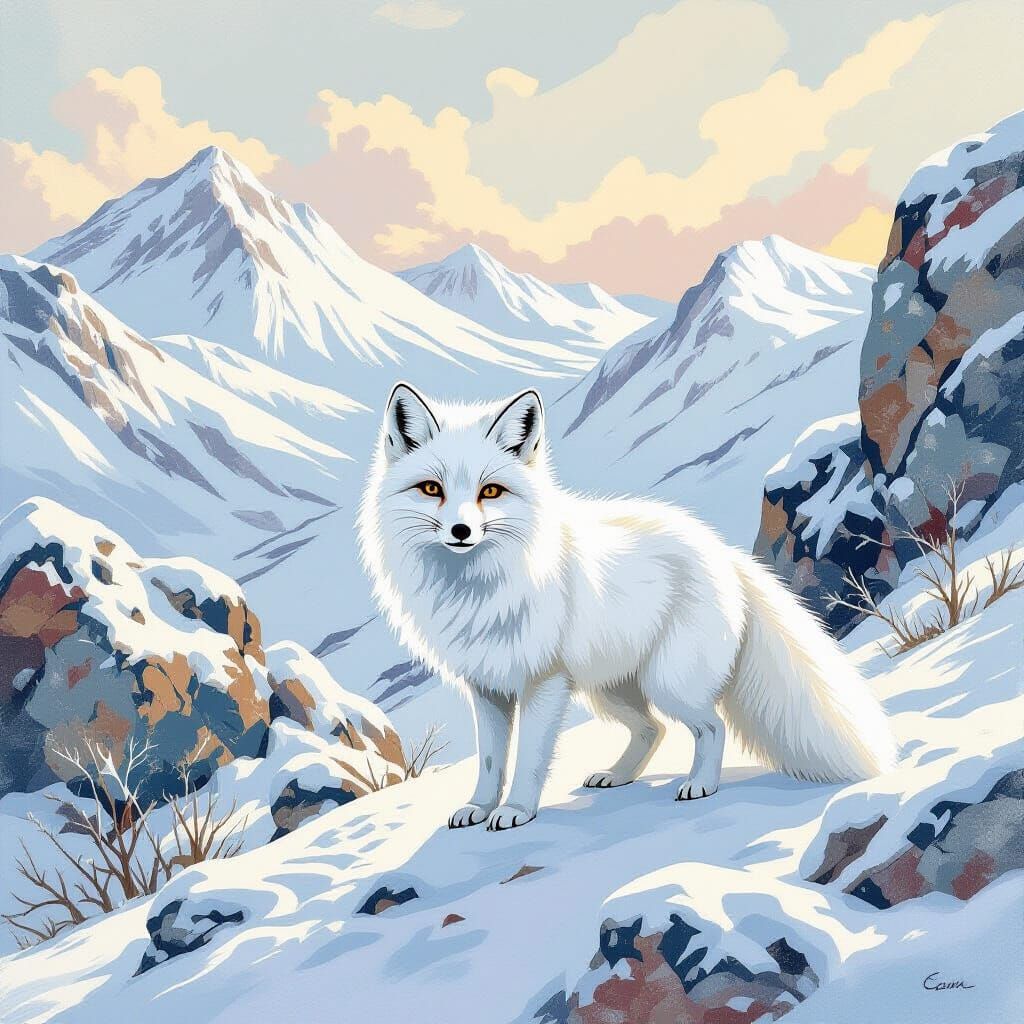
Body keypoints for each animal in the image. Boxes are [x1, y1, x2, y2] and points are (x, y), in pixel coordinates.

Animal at [357, 382, 897, 832]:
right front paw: (479, 807)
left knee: (711, 726)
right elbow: (491, 762)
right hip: (610, 690)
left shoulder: (542, 683)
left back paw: (701, 785)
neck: (481, 586)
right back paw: (617, 776)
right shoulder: (487, 686)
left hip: (666, 683)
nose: (461, 530)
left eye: (490, 491)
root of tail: (724, 552)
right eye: (432, 488)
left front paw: (515, 811)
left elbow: (529, 757)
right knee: (652, 729)